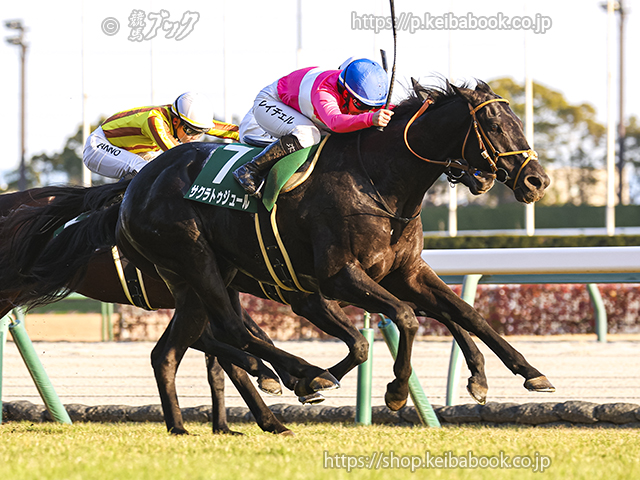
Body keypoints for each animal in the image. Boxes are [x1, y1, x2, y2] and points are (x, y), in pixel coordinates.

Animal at [0, 80, 554, 434]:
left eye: (515, 118)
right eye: (493, 123)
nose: (536, 179)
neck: (377, 179)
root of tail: (134, 189)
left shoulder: (403, 271)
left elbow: (461, 313)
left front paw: (523, 372)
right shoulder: (334, 277)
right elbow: (399, 321)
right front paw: (392, 390)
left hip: (191, 279)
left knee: (180, 348)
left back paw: (213, 420)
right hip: (196, 261)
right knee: (230, 332)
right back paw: (293, 375)